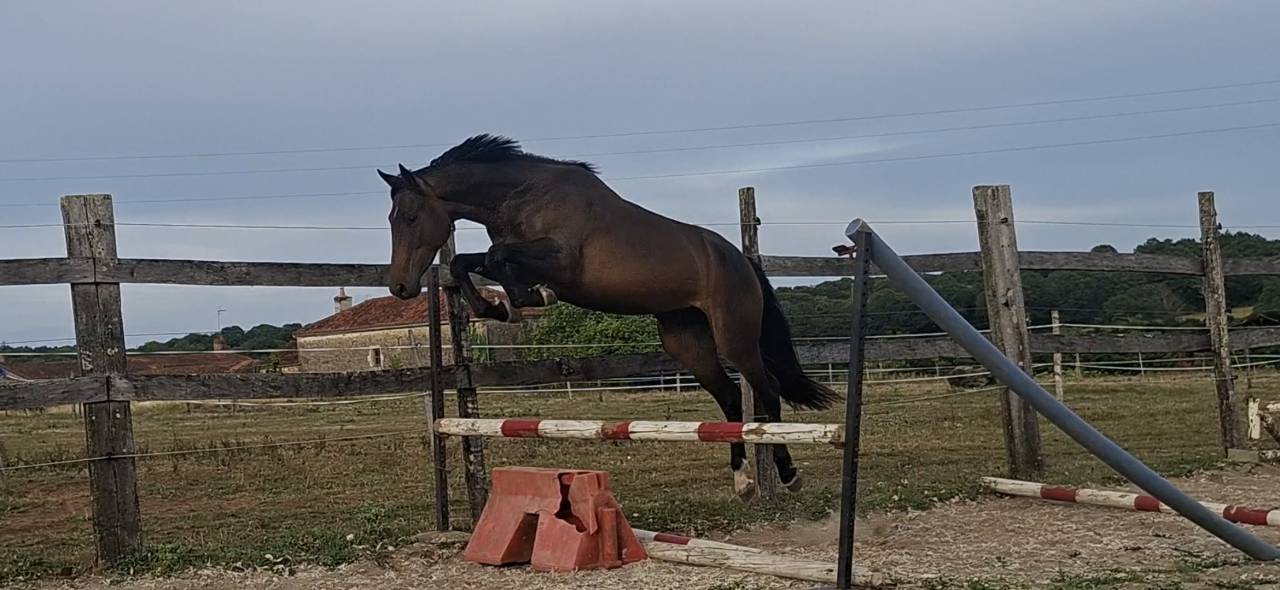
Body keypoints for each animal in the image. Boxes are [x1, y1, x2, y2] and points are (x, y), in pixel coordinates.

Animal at [380, 134, 838, 500]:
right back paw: (742, 482)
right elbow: (466, 263)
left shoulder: (561, 261)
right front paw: (496, 307)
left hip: (735, 337)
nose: (400, 286)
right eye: (391, 218)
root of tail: (742, 261)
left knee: (768, 390)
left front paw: (529, 297)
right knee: (728, 397)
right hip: (687, 341)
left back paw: (789, 475)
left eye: (411, 216)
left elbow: (497, 257)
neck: (524, 195)